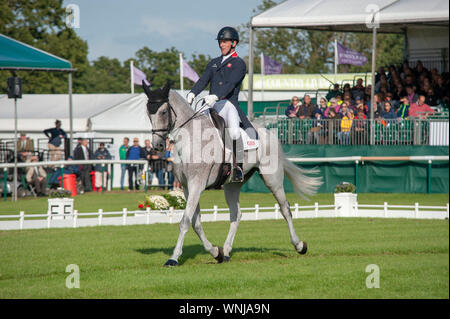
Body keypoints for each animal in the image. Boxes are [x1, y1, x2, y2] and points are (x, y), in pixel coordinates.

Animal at [142, 81, 322, 266]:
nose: (157, 146)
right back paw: (227, 251)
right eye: (148, 112)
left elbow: (185, 221)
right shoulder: (186, 187)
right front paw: (216, 252)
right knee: (236, 214)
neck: (192, 138)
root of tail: (269, 133)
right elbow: (196, 222)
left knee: (285, 209)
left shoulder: (196, 184)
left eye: (163, 112)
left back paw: (299, 246)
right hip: (232, 185)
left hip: (273, 180)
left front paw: (173, 258)